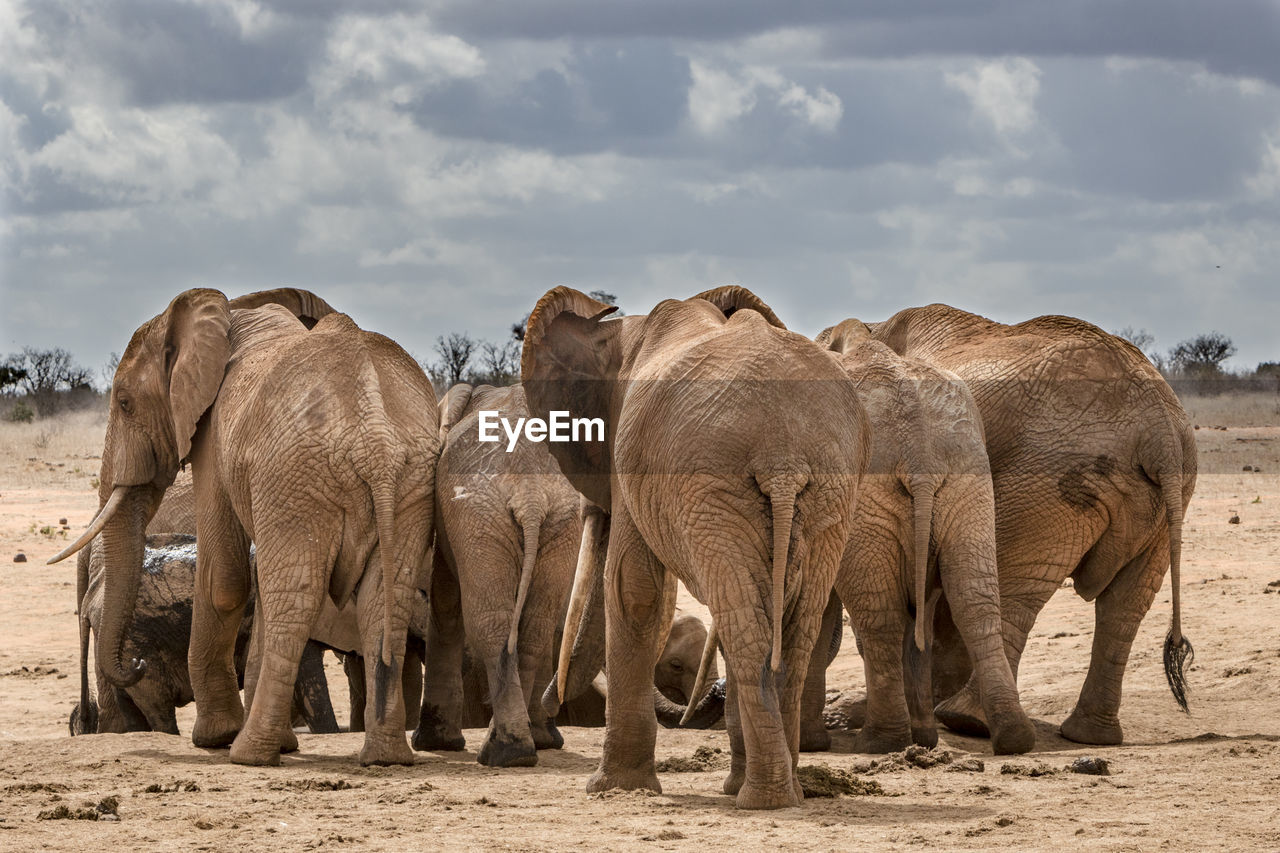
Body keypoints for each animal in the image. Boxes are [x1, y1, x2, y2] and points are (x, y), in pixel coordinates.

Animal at [51, 285, 440, 763]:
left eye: (124, 403)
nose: (136, 664)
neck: (228, 312)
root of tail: (377, 439)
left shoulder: (212, 433)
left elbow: (224, 577)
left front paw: (215, 737)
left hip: (296, 478)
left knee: (294, 596)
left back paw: (249, 752)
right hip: (405, 480)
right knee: (385, 594)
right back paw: (385, 756)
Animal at [412, 384, 583, 763]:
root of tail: (530, 494)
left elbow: (446, 605)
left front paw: (434, 743)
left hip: (478, 517)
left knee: (490, 623)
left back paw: (506, 752)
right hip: (556, 521)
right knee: (534, 628)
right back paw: (522, 747)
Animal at [519, 284, 870, 804]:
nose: (551, 713)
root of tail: (782, 459)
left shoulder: (635, 466)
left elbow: (633, 589)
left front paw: (612, 788)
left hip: (714, 486)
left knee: (744, 618)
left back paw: (762, 799)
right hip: (826, 491)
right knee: (791, 621)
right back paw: (779, 791)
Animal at [798, 318, 1039, 753]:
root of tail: (919, 452)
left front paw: (811, 745)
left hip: (873, 496)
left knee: (881, 613)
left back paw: (880, 743)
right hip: (969, 482)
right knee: (974, 600)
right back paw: (1011, 739)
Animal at [865, 302, 1192, 742]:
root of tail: (1161, 431)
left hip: (1047, 479)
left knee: (1015, 587)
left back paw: (965, 720)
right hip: (1159, 496)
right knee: (1125, 605)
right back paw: (1086, 735)